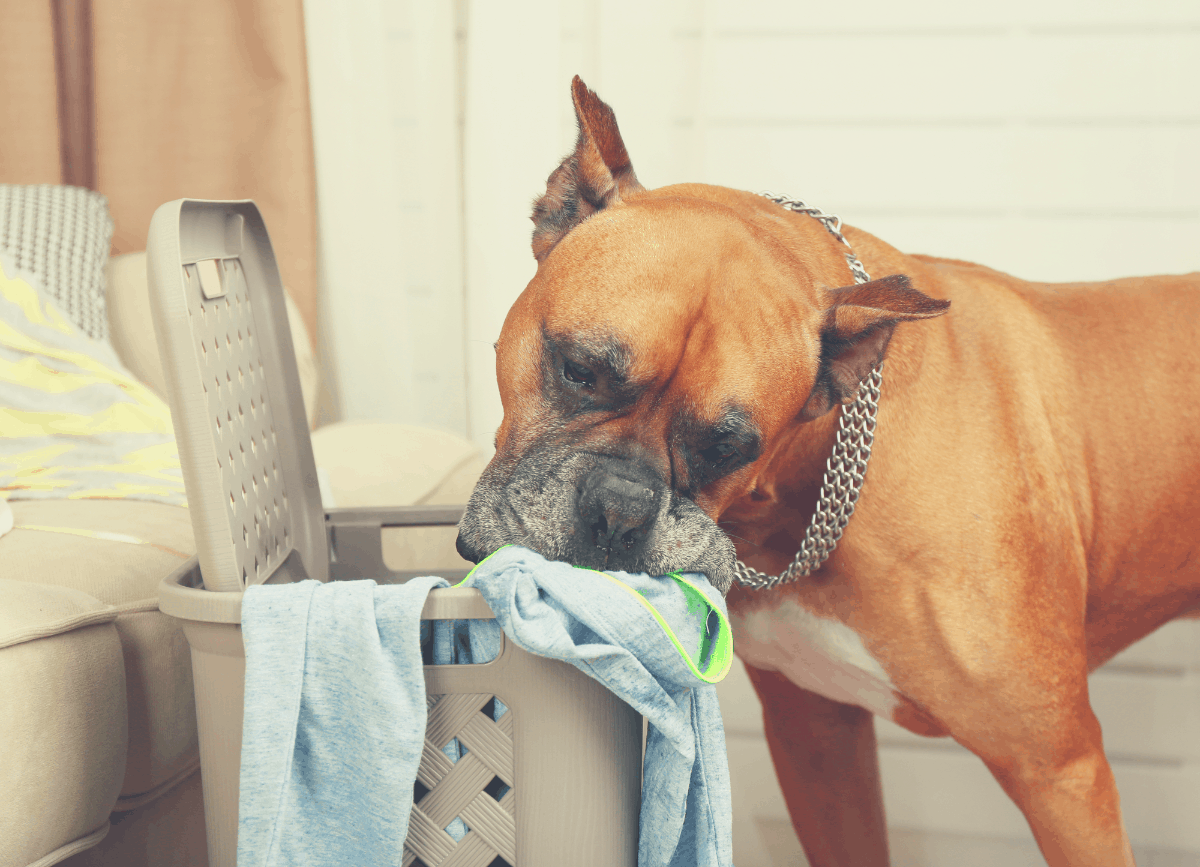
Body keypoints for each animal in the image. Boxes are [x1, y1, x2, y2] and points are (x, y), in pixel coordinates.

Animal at [453, 77, 1200, 859]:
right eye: (578, 369)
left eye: (730, 447)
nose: (619, 510)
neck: (800, 501)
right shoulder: (818, 741)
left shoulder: (1061, 773)